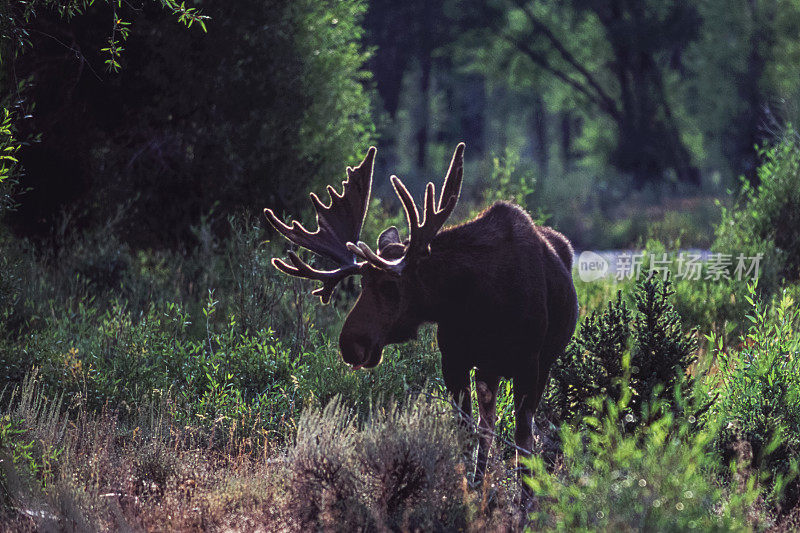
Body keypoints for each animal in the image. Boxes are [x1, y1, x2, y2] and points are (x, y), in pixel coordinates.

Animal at [266, 144, 580, 486]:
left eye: (390, 285)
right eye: (362, 284)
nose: (350, 344)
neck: (480, 300)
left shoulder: (530, 365)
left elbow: (525, 446)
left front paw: (526, 497)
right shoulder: (454, 359)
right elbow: (466, 433)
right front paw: (468, 491)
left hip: (536, 364)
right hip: (488, 369)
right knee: (488, 424)